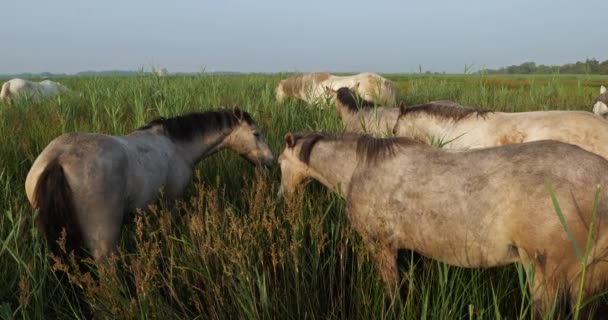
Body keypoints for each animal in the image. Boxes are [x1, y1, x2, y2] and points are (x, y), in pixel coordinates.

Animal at [25, 107, 274, 260]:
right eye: (256, 133)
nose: (271, 161)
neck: (177, 145)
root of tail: (59, 159)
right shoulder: (171, 203)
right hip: (104, 242)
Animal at [278, 131, 608, 316]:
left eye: (280, 163)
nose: (283, 196)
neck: (359, 169)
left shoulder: (381, 246)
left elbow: (392, 293)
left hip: (545, 275)